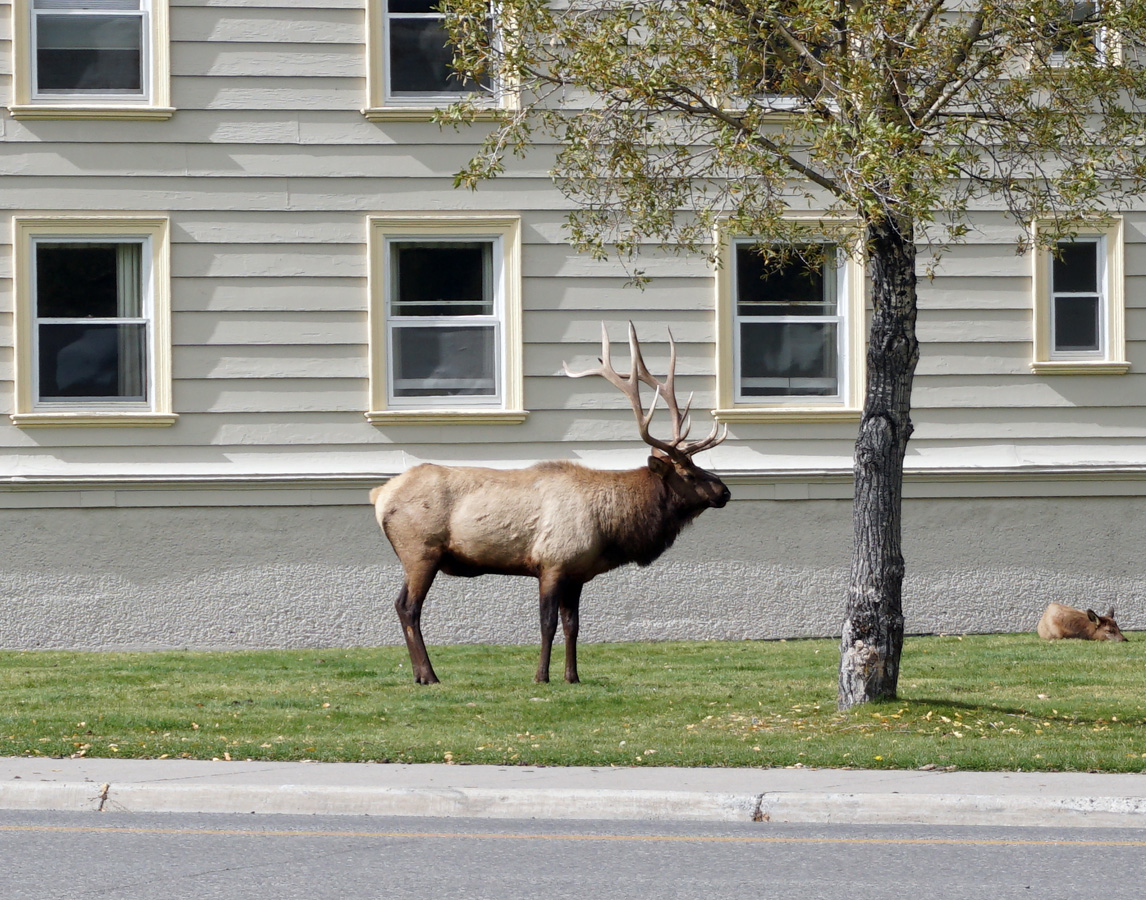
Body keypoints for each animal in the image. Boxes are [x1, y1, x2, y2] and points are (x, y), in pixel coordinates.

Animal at [370, 322, 730, 685]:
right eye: (689, 474)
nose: (725, 491)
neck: (609, 530)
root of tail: (379, 495)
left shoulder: (577, 574)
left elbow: (573, 626)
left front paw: (573, 676)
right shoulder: (551, 562)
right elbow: (548, 624)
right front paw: (541, 676)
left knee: (403, 605)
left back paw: (420, 674)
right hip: (420, 550)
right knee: (408, 607)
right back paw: (429, 675)